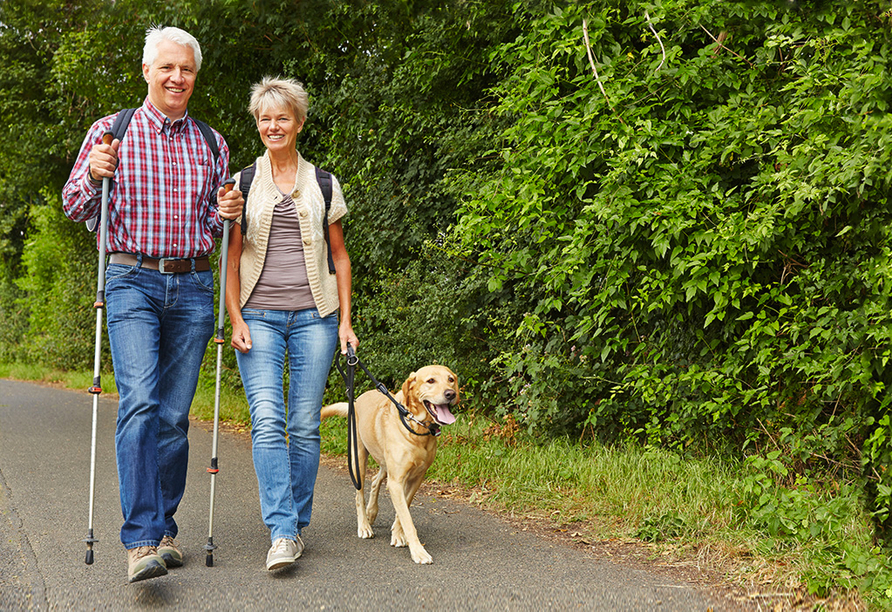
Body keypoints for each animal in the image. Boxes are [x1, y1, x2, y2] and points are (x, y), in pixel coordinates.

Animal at [322, 364, 460, 564]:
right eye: (431, 380)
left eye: (451, 379)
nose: (450, 394)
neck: (416, 428)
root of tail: (356, 401)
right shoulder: (396, 482)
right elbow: (407, 519)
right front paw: (418, 551)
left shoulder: (415, 479)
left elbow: (403, 509)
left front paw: (397, 534)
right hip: (359, 461)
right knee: (359, 495)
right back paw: (364, 525)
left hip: (385, 464)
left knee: (375, 480)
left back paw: (372, 512)